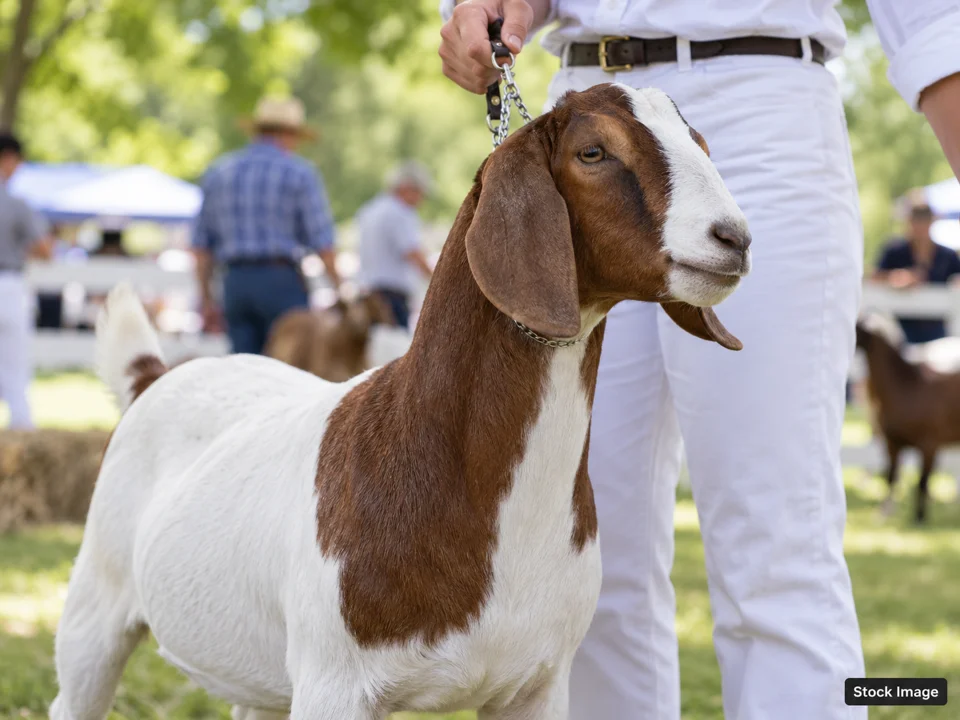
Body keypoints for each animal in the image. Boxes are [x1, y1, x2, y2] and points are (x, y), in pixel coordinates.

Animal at [50, 83, 751, 720]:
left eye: (700, 142)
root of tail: (154, 375)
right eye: (594, 151)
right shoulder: (333, 685)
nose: (734, 237)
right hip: (95, 603)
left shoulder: (539, 684)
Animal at [856, 318, 960, 523]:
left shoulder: (929, 445)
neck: (907, 387)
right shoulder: (892, 443)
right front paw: (885, 512)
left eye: (857, 329)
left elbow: (922, 482)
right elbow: (891, 477)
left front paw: (920, 517)